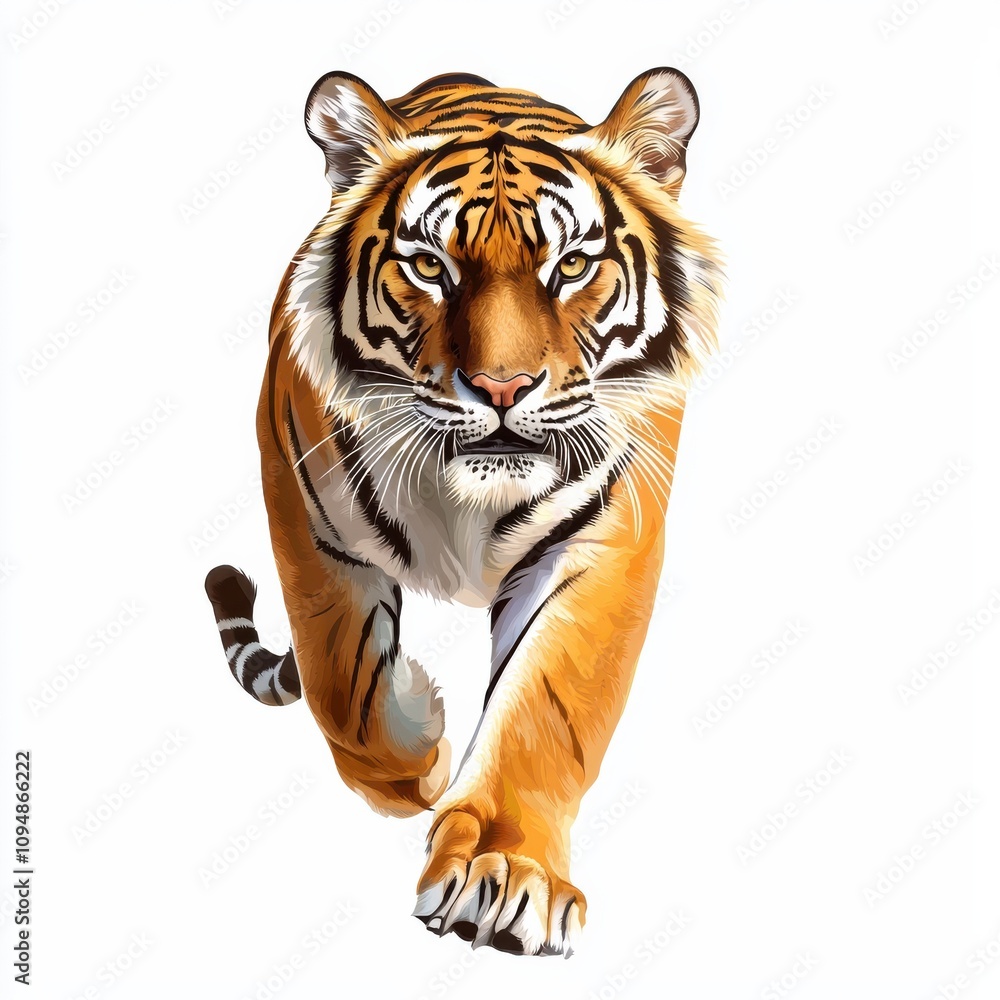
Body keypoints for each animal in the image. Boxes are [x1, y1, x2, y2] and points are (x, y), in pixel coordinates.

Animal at [204, 66, 721, 957]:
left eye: (572, 265)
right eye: (428, 264)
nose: (503, 388)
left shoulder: (599, 541)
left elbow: (544, 711)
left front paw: (506, 874)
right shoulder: (308, 519)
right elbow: (347, 692)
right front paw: (423, 746)